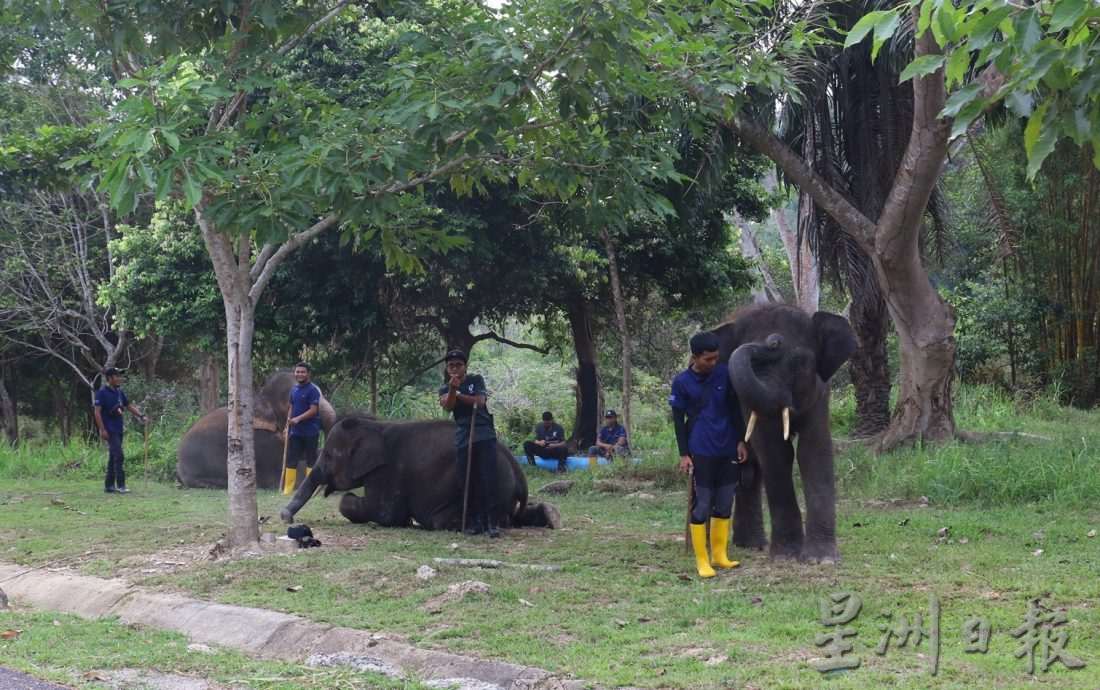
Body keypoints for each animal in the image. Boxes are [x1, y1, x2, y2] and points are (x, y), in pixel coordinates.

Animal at [279, 413, 563, 532]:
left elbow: (384, 514)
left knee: (442, 521)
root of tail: (518, 473)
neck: (374, 425)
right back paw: (551, 516)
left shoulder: (388, 473)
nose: (286, 518)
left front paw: (403, 521)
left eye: (328, 456)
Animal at [712, 305, 858, 563]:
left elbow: (813, 450)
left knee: (750, 471)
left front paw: (822, 559)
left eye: (798, 361)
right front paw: (786, 556)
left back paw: (752, 545)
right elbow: (776, 454)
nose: (772, 342)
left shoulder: (819, 394)